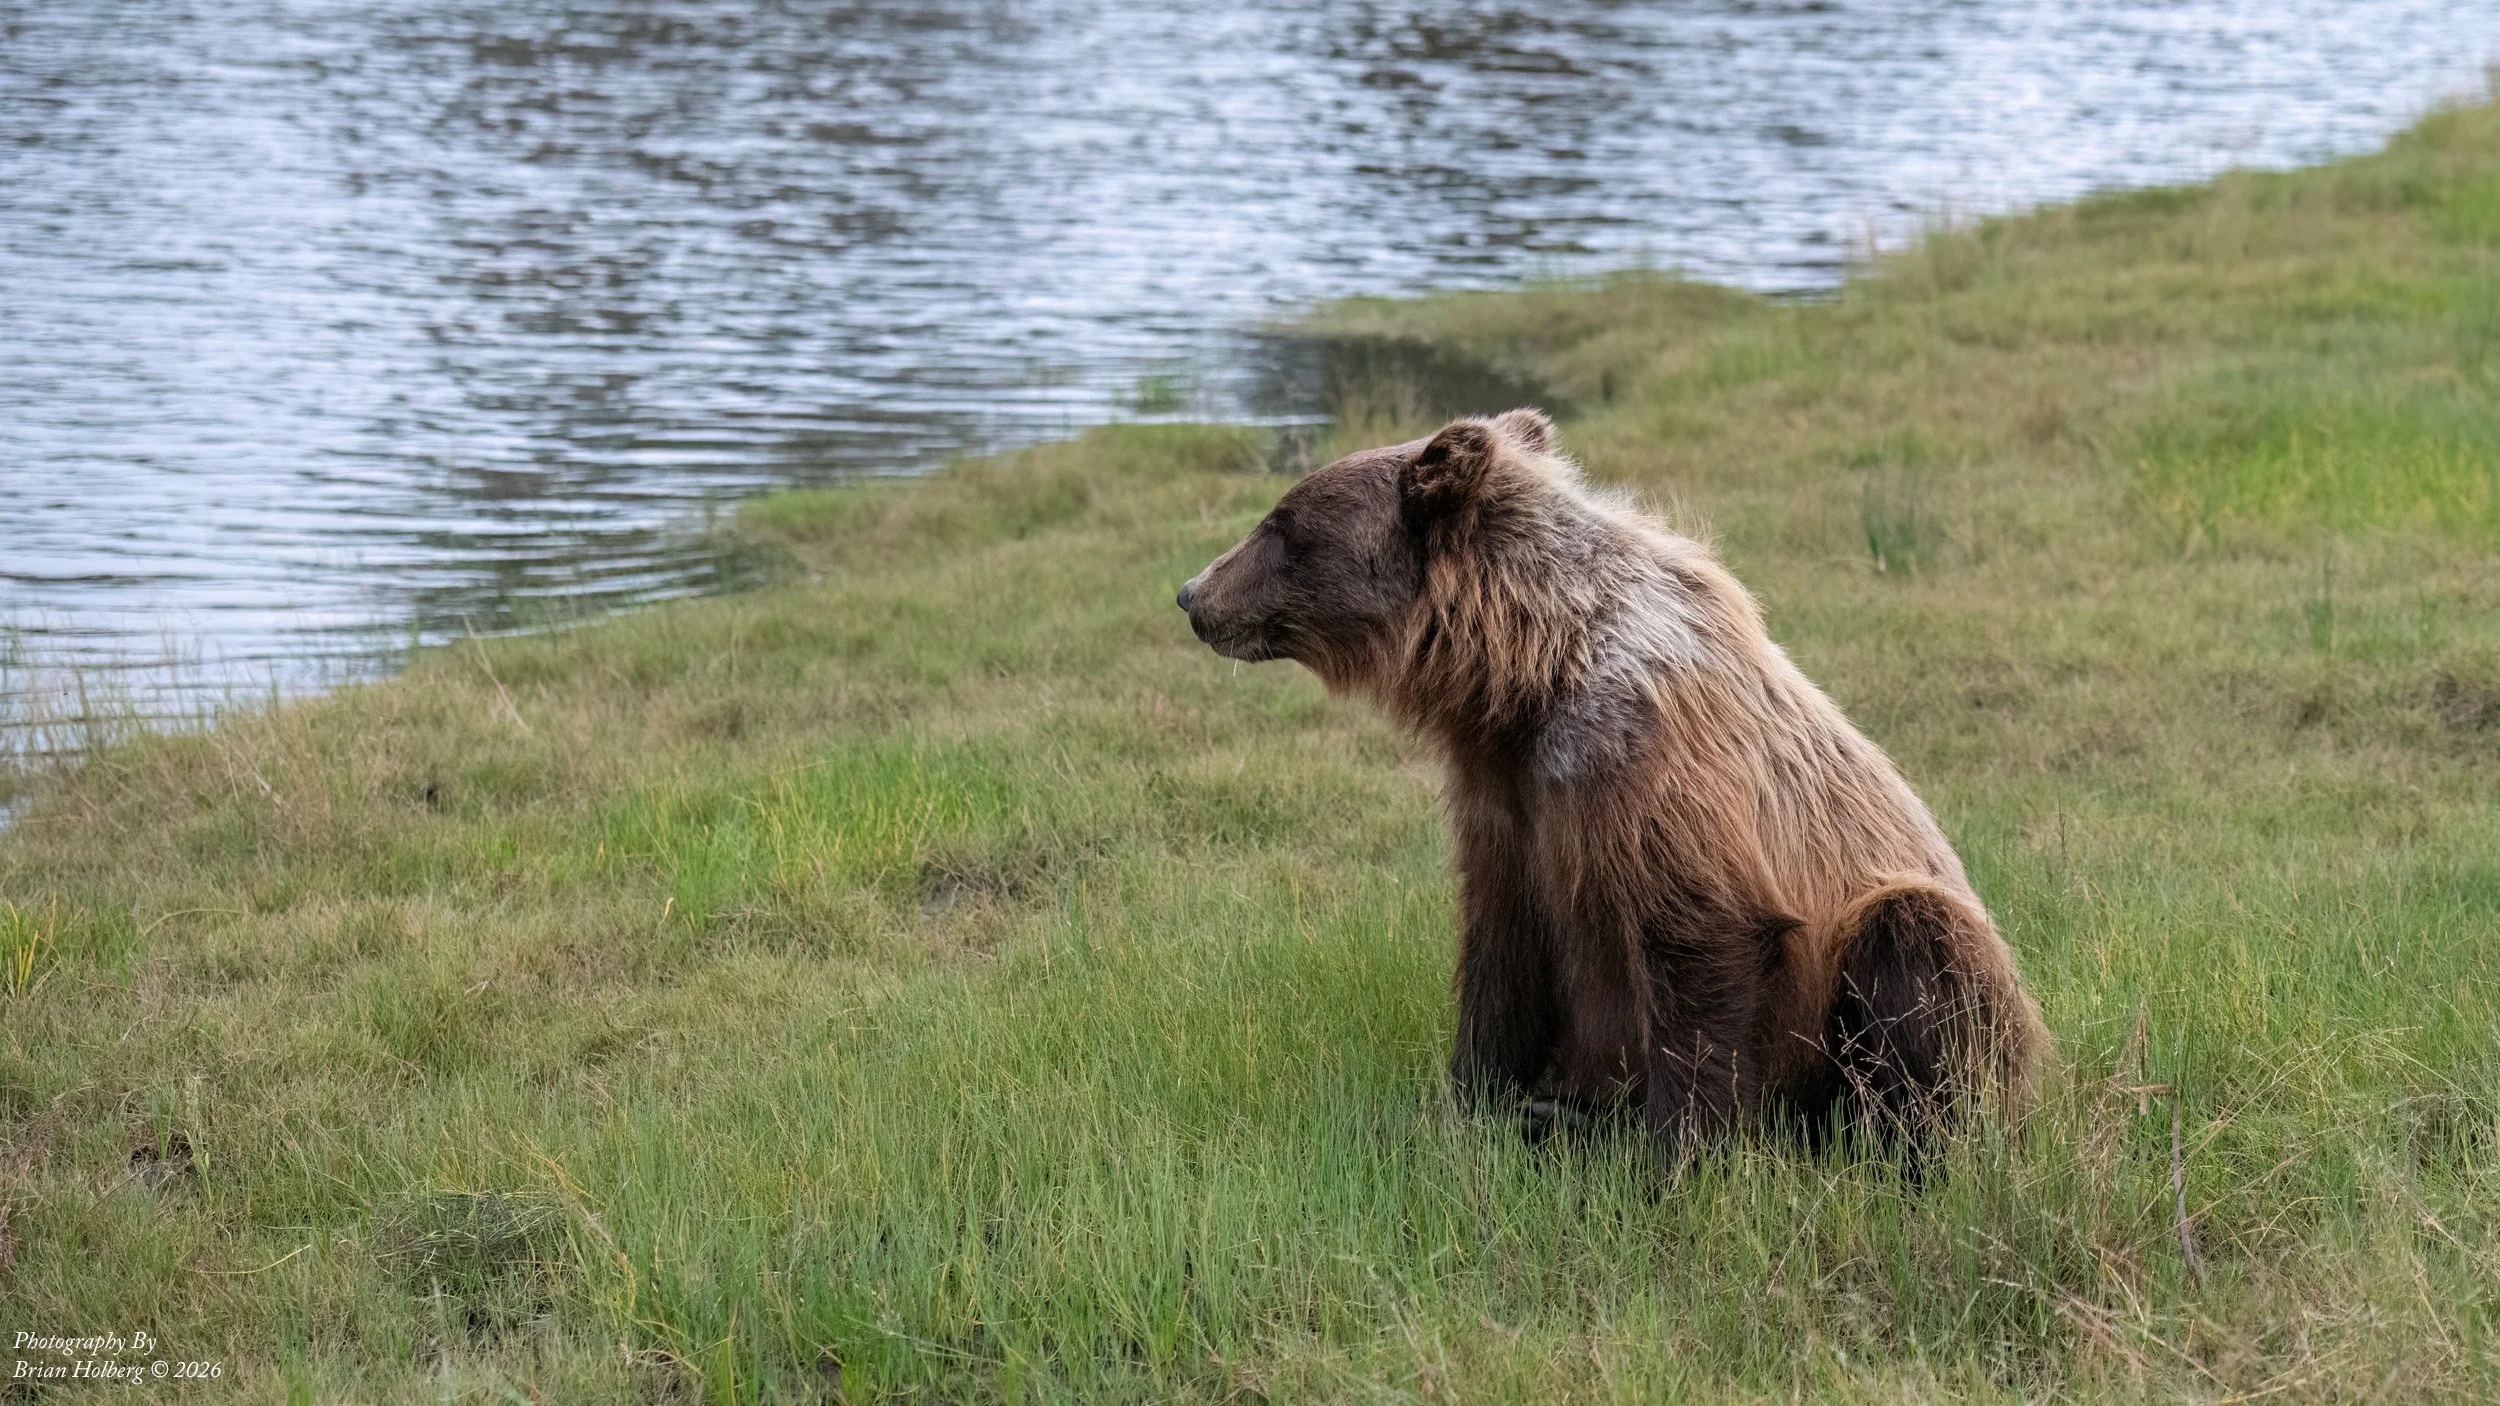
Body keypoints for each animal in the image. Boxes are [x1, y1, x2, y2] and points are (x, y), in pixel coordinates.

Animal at [1177, 408, 2049, 1150]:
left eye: (1281, 525)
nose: (1191, 594)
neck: (1525, 670)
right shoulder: (1506, 793)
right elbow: (1502, 954)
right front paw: (1471, 1105)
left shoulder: (1637, 760)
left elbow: (1703, 940)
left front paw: (1678, 1153)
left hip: (1937, 980)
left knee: (1913, 945)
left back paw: (1897, 1139)